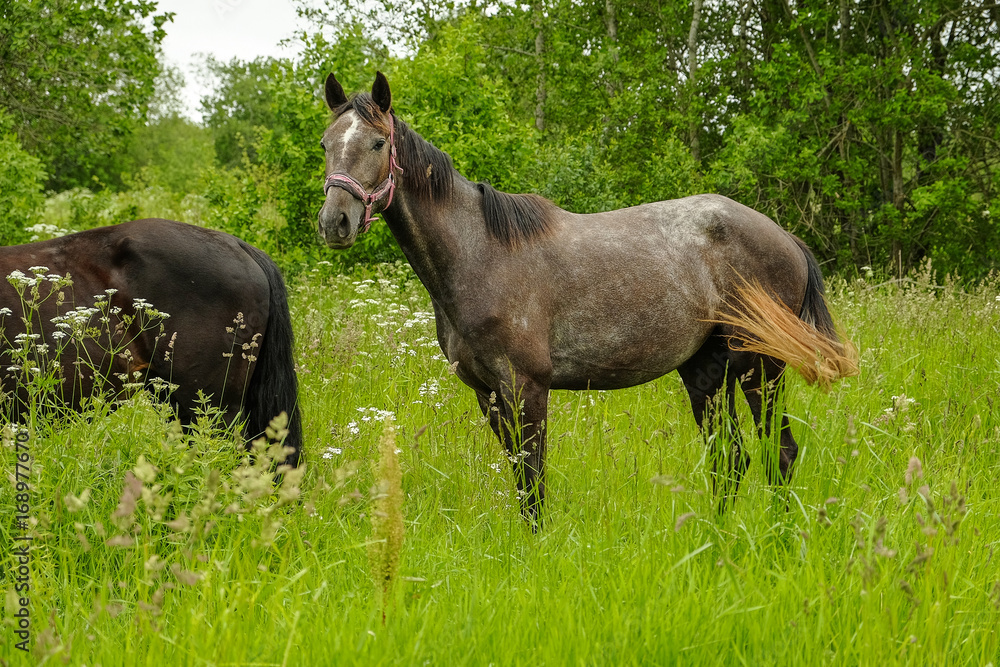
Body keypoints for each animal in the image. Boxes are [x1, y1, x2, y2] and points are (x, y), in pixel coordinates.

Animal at [316, 72, 856, 526]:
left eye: (378, 142)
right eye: (326, 144)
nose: (335, 222)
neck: (480, 254)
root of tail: (787, 239)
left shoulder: (527, 388)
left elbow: (533, 484)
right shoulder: (486, 394)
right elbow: (521, 481)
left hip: (758, 366)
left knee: (779, 453)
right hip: (705, 371)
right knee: (731, 459)